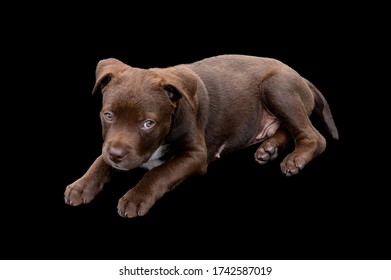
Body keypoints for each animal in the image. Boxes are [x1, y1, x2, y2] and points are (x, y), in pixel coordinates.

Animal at [64, 54, 340, 217]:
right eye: (108, 115)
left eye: (148, 123)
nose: (117, 155)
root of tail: (300, 76)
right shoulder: (110, 146)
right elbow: (99, 160)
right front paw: (82, 184)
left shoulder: (195, 155)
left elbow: (159, 172)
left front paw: (136, 197)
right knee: (283, 129)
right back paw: (268, 149)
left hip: (277, 87)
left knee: (314, 137)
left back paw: (295, 160)